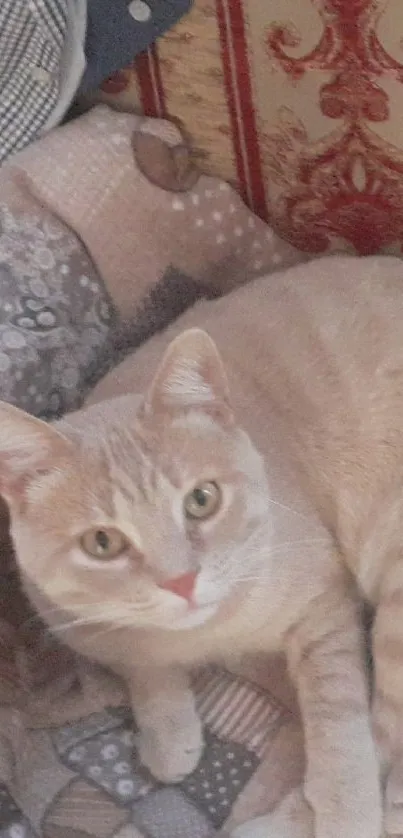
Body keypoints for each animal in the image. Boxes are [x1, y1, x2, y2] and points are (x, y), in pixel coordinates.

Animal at [3, 254, 403, 838]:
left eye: (201, 500)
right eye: (103, 542)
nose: (181, 580)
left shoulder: (325, 606)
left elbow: (340, 724)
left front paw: (345, 808)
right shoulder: (91, 632)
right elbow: (142, 668)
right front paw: (168, 731)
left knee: (385, 739)